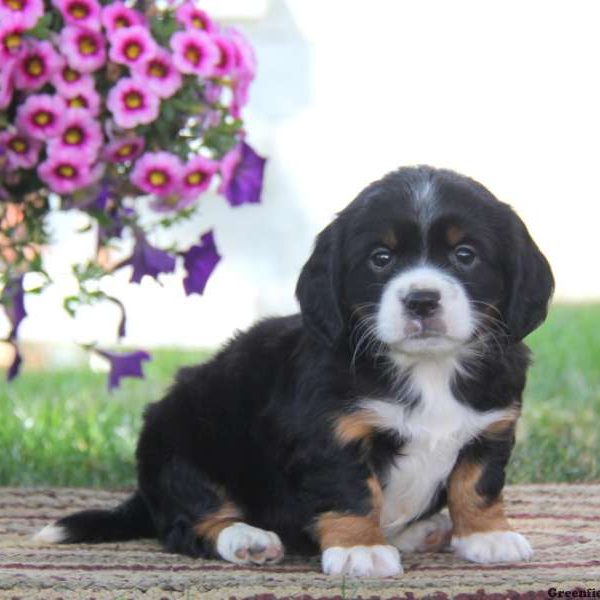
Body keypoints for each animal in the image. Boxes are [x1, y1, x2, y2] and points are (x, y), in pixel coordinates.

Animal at [36, 168, 552, 576]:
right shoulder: (332, 433)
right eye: (380, 258)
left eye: (465, 254)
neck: (428, 369)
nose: (421, 299)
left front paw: (486, 536)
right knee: (187, 524)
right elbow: (352, 490)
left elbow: (477, 484)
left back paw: (417, 531)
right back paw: (247, 538)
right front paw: (360, 548)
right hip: (181, 441)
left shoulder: (492, 426)